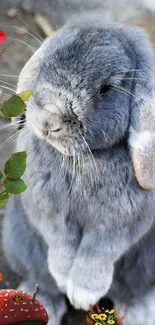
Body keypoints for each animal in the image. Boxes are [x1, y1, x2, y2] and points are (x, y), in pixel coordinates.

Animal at [2, 18, 155, 324]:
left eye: (106, 89)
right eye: (45, 64)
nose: (49, 121)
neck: (83, 158)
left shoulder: (120, 224)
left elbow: (99, 251)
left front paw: (82, 294)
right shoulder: (47, 211)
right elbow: (60, 242)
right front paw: (65, 280)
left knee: (133, 292)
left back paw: (139, 314)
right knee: (40, 281)